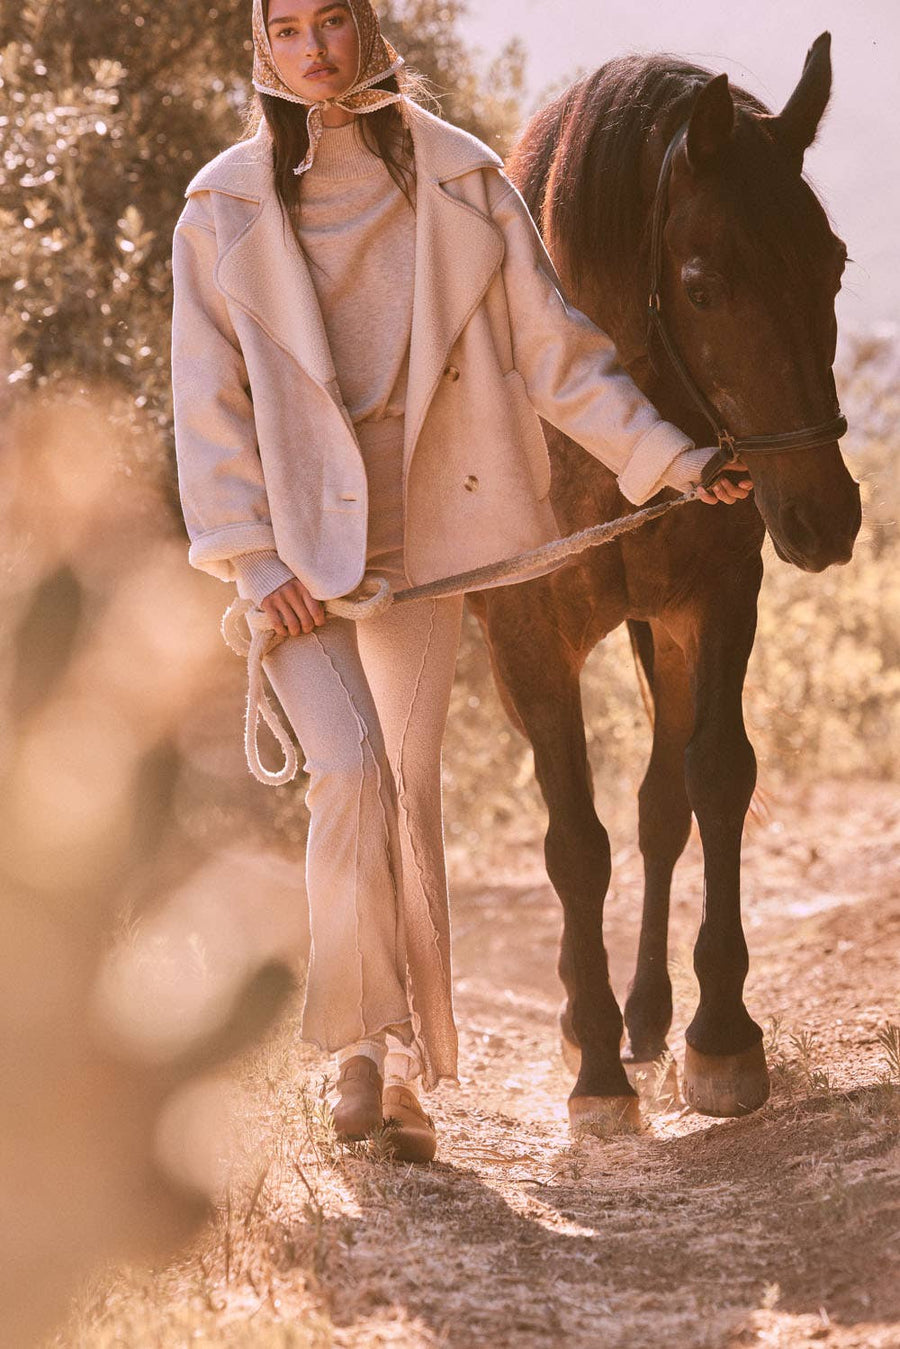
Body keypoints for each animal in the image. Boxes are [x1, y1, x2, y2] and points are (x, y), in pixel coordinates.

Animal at [469, 34, 863, 1127]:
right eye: (701, 286)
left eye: (834, 263)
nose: (827, 515)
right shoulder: (530, 636)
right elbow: (573, 839)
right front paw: (597, 1067)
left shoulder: (716, 599)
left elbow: (713, 781)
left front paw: (723, 1034)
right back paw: (589, 1022)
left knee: (659, 808)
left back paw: (647, 1012)